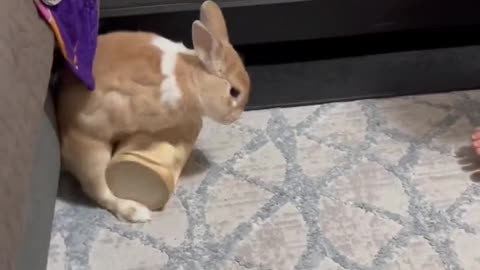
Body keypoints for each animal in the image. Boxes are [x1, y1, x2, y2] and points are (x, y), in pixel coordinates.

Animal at [56, 0, 251, 223]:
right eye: (234, 92)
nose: (235, 117)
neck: (191, 76)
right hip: (91, 149)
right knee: (99, 189)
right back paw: (136, 212)